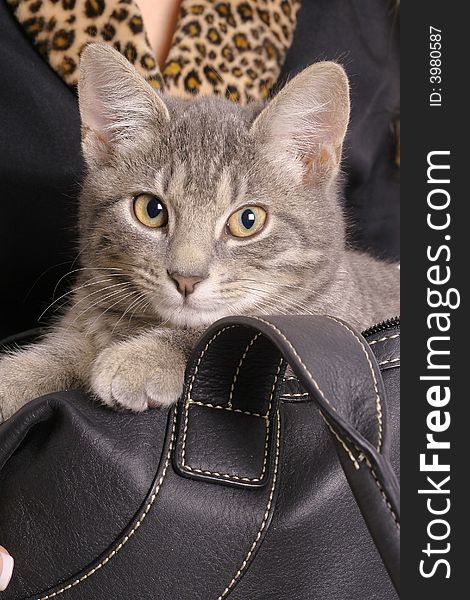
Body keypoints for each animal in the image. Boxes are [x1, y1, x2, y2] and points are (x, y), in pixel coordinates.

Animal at [0, 44, 400, 422]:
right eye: (151, 210)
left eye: (248, 220)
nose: (185, 278)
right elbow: (61, 352)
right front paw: (13, 379)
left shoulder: (326, 326)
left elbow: (224, 329)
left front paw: (144, 356)